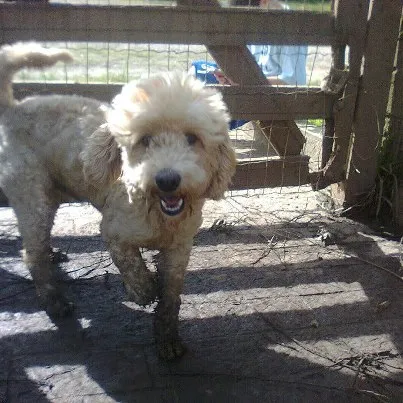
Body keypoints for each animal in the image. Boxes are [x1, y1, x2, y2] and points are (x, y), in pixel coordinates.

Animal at [0, 42, 237, 362]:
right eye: (145, 140)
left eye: (192, 138)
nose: (167, 179)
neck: (157, 213)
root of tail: (12, 108)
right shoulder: (113, 231)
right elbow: (131, 263)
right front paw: (143, 291)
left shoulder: (179, 249)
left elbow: (171, 297)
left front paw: (168, 338)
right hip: (32, 196)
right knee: (31, 253)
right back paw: (54, 300)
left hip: (50, 195)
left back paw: (53, 256)